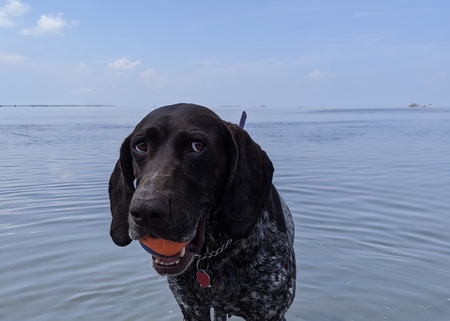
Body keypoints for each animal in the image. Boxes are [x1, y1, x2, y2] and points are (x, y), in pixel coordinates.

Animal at [109, 104, 298, 318]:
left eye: (197, 146)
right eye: (140, 146)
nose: (146, 212)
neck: (214, 253)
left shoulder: (269, 312)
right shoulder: (193, 309)